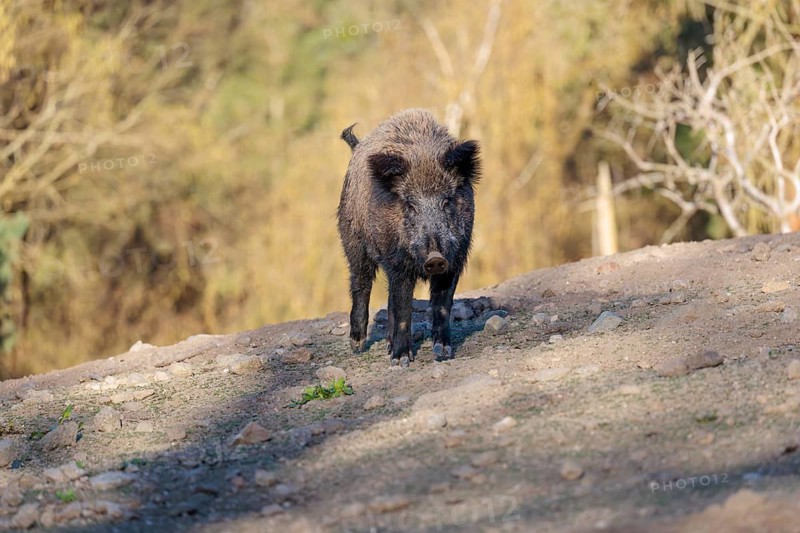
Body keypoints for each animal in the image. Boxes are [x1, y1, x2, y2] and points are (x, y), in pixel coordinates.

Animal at [337, 108, 480, 366]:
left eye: (446, 202)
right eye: (410, 205)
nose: (435, 258)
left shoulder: (455, 259)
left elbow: (442, 306)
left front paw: (443, 352)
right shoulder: (398, 262)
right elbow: (404, 308)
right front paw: (401, 360)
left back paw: (387, 346)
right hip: (352, 240)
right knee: (361, 283)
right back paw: (358, 346)